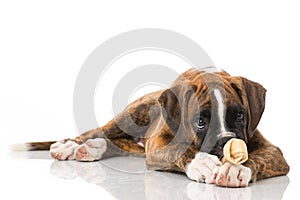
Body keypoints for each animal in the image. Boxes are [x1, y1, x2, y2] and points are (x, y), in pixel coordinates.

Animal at [22, 67, 288, 188]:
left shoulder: (273, 152)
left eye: (241, 116)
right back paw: (69, 146)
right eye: (200, 122)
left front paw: (235, 169)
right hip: (131, 115)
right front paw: (201, 163)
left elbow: (260, 156)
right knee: (97, 131)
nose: (225, 144)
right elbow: (179, 150)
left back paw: (92, 149)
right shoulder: (159, 143)